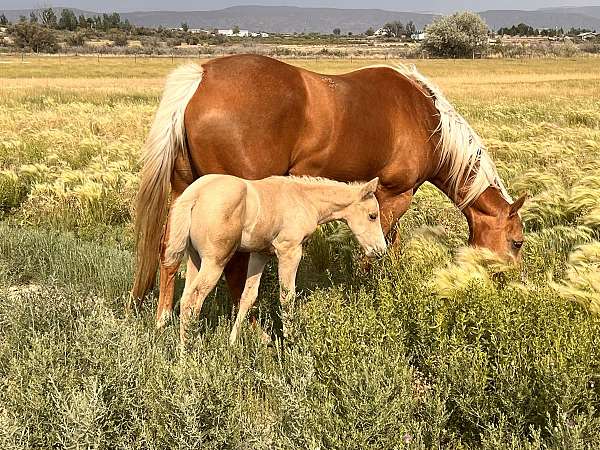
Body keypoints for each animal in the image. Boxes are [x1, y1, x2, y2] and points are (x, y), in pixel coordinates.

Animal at [165, 174, 390, 342]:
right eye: (373, 215)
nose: (380, 250)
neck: (304, 199)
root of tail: (195, 194)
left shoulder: (260, 254)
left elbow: (248, 296)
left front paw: (233, 341)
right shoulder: (290, 250)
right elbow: (287, 296)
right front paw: (291, 340)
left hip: (195, 259)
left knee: (185, 298)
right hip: (215, 262)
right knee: (192, 301)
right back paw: (188, 353)